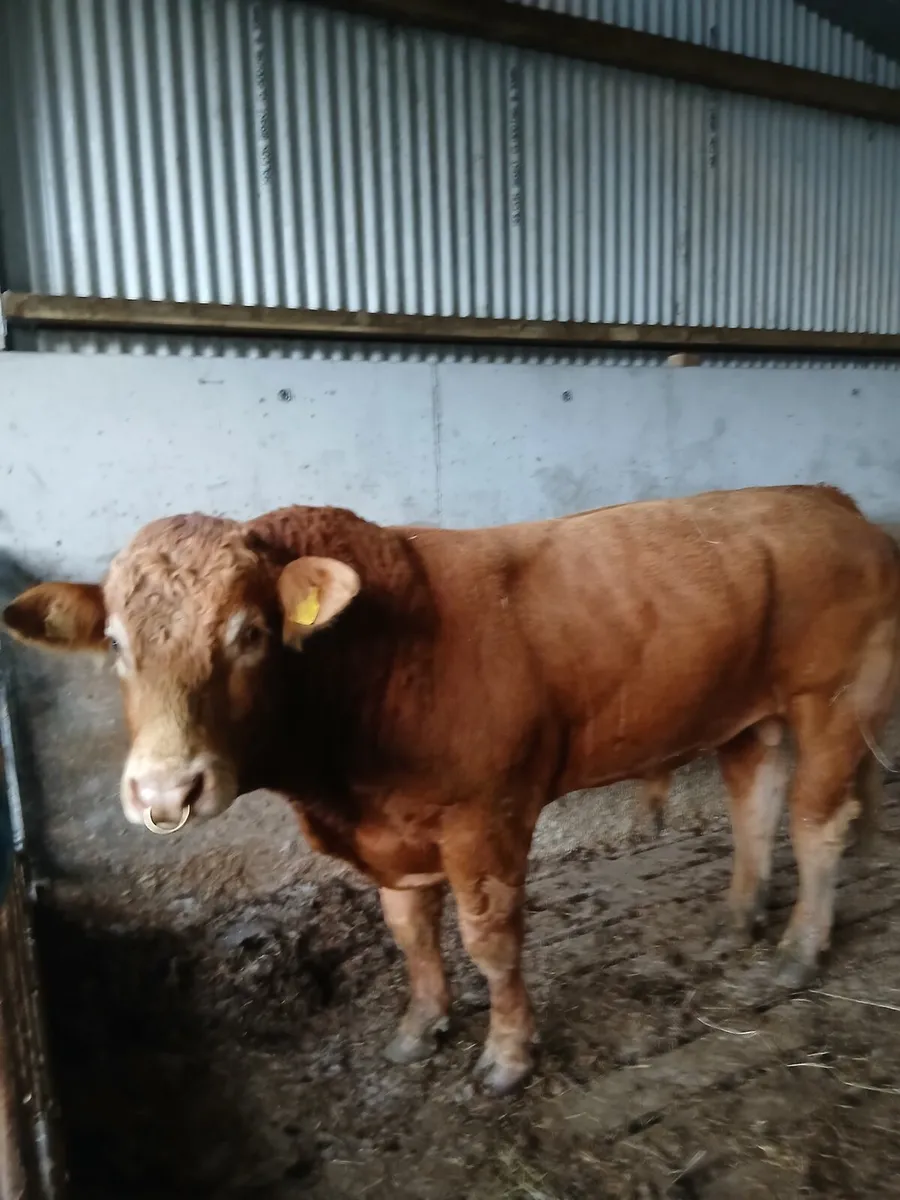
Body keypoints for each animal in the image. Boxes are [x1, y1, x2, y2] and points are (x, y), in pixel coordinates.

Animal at [3, 484, 899, 1095]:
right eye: (116, 643)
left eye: (250, 633)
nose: (166, 788)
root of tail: (829, 500)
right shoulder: (391, 837)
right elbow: (411, 935)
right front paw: (420, 1025)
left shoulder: (486, 818)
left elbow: (490, 943)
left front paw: (507, 1055)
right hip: (748, 710)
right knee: (755, 798)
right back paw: (738, 918)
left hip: (834, 700)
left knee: (818, 823)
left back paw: (796, 950)